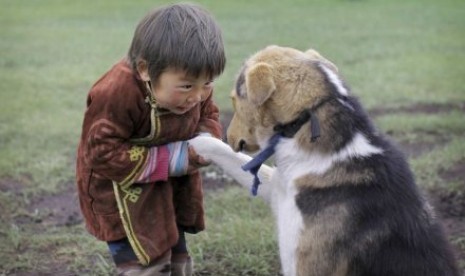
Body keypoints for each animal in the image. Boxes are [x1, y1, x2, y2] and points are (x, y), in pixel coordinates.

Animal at [188, 45, 456, 276]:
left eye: (234, 100)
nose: (229, 136)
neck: (304, 122)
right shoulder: (278, 190)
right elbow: (227, 154)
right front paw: (192, 142)